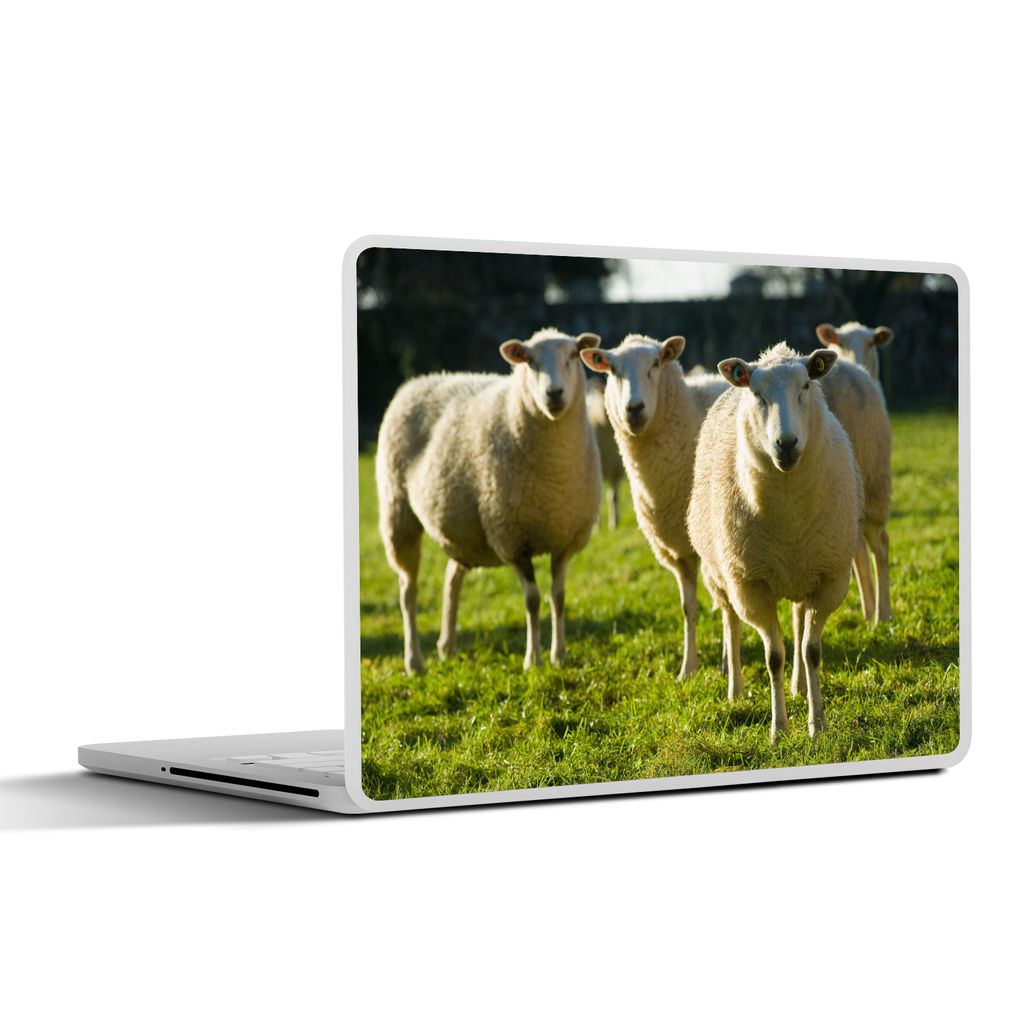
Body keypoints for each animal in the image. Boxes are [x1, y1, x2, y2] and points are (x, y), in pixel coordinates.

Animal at [375, 327, 602, 675]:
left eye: (573, 355)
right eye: (529, 361)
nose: (554, 394)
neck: (554, 475)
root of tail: (415, 382)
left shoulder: (564, 539)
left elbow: (559, 596)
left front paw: (559, 656)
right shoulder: (513, 540)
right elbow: (533, 600)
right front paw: (533, 660)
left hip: (464, 532)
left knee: (451, 578)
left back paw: (446, 646)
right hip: (398, 514)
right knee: (407, 591)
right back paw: (414, 662)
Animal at [687, 343, 864, 739]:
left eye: (806, 386)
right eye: (757, 394)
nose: (786, 444)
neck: (788, 515)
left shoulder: (829, 578)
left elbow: (811, 651)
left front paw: (817, 724)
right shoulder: (750, 586)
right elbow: (773, 656)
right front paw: (779, 728)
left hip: (803, 572)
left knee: (797, 625)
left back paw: (800, 687)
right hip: (720, 576)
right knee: (731, 625)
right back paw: (735, 691)